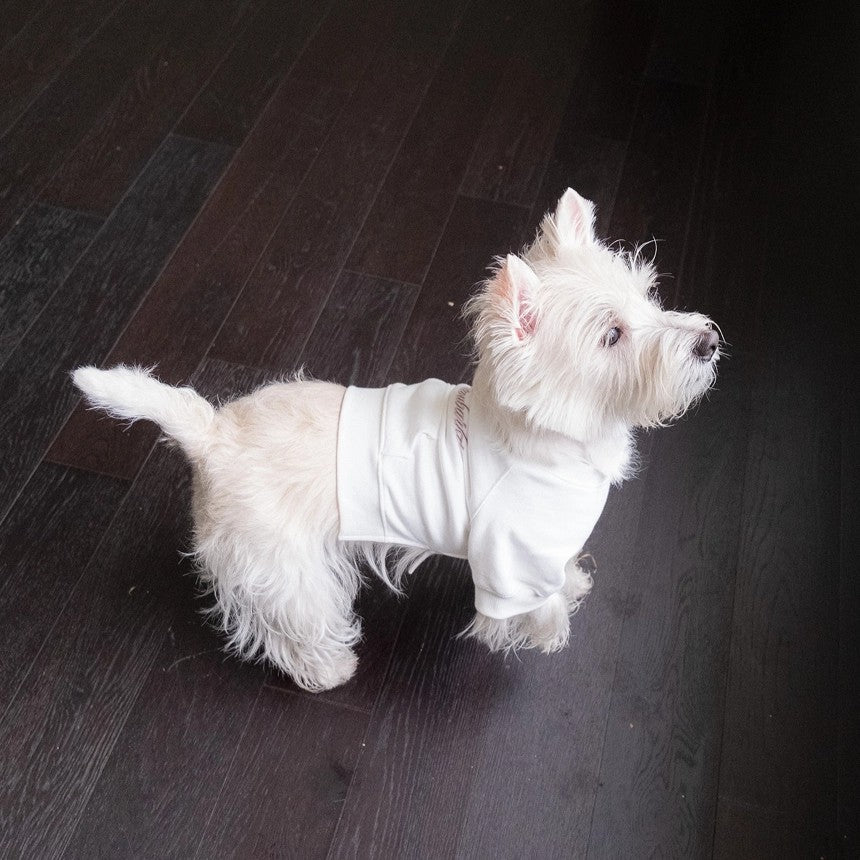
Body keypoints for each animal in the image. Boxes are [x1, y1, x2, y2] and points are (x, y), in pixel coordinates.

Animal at [72, 189, 720, 692]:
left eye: (647, 296)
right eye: (612, 335)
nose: (709, 341)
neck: (555, 441)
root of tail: (211, 435)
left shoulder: (541, 542)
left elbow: (559, 571)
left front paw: (574, 581)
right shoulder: (506, 561)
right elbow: (533, 605)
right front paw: (548, 632)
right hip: (289, 570)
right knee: (288, 626)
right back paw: (330, 669)